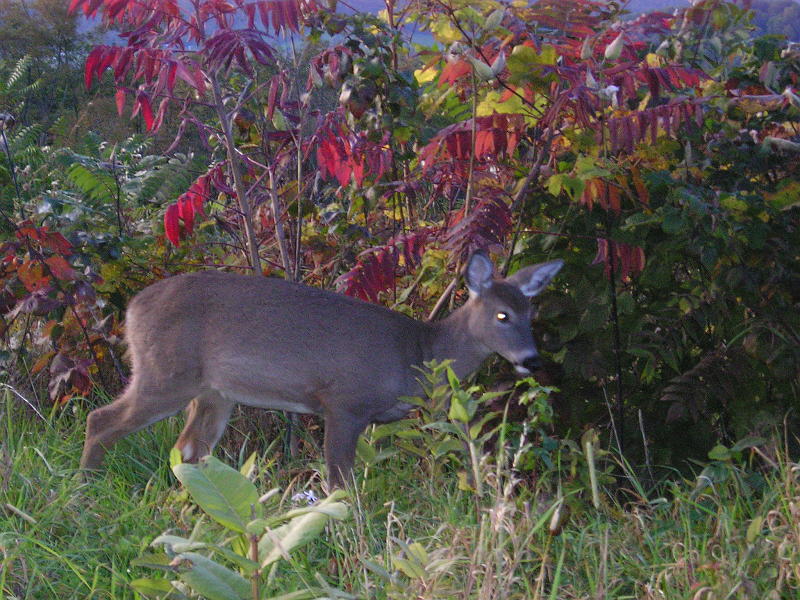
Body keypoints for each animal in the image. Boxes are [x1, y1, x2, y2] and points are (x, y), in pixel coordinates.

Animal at [78, 251, 560, 490]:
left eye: (531, 312)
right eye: (501, 315)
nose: (531, 360)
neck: (418, 353)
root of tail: (132, 309)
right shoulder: (344, 401)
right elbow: (338, 481)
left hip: (213, 392)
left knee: (188, 449)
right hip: (165, 373)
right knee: (100, 420)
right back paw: (85, 491)